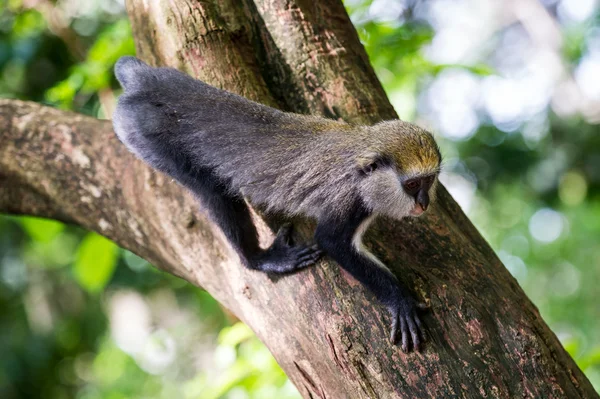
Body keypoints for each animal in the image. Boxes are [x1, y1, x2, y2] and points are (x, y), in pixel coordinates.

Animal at [112, 56, 440, 354]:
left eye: (429, 181)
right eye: (413, 185)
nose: (424, 203)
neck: (361, 153)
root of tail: (147, 80)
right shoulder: (347, 203)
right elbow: (332, 241)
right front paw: (400, 301)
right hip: (143, 133)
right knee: (213, 190)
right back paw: (258, 257)